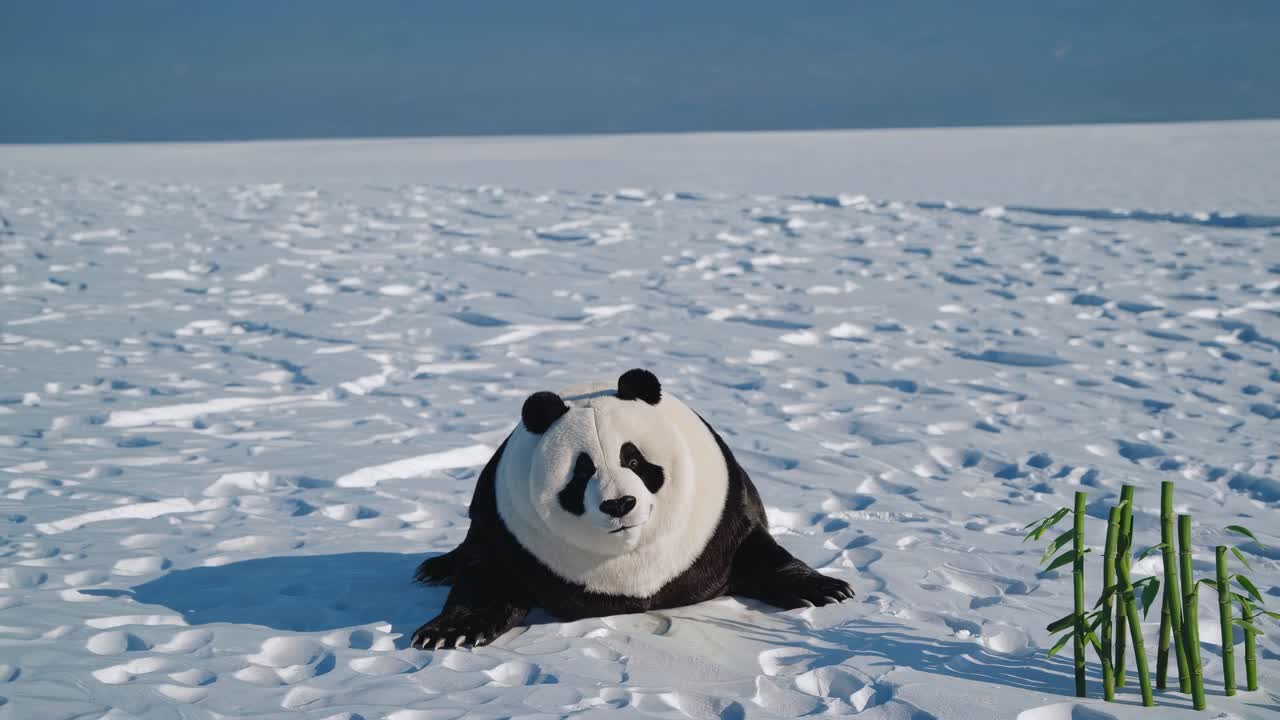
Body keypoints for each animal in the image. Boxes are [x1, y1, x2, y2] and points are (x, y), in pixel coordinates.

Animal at [410, 368, 853, 649]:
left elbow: (758, 551)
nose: (619, 504)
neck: (631, 553)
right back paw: (434, 568)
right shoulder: (509, 525)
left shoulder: (719, 511)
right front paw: (447, 632)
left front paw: (827, 589)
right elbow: (486, 577)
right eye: (581, 472)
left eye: (635, 460)